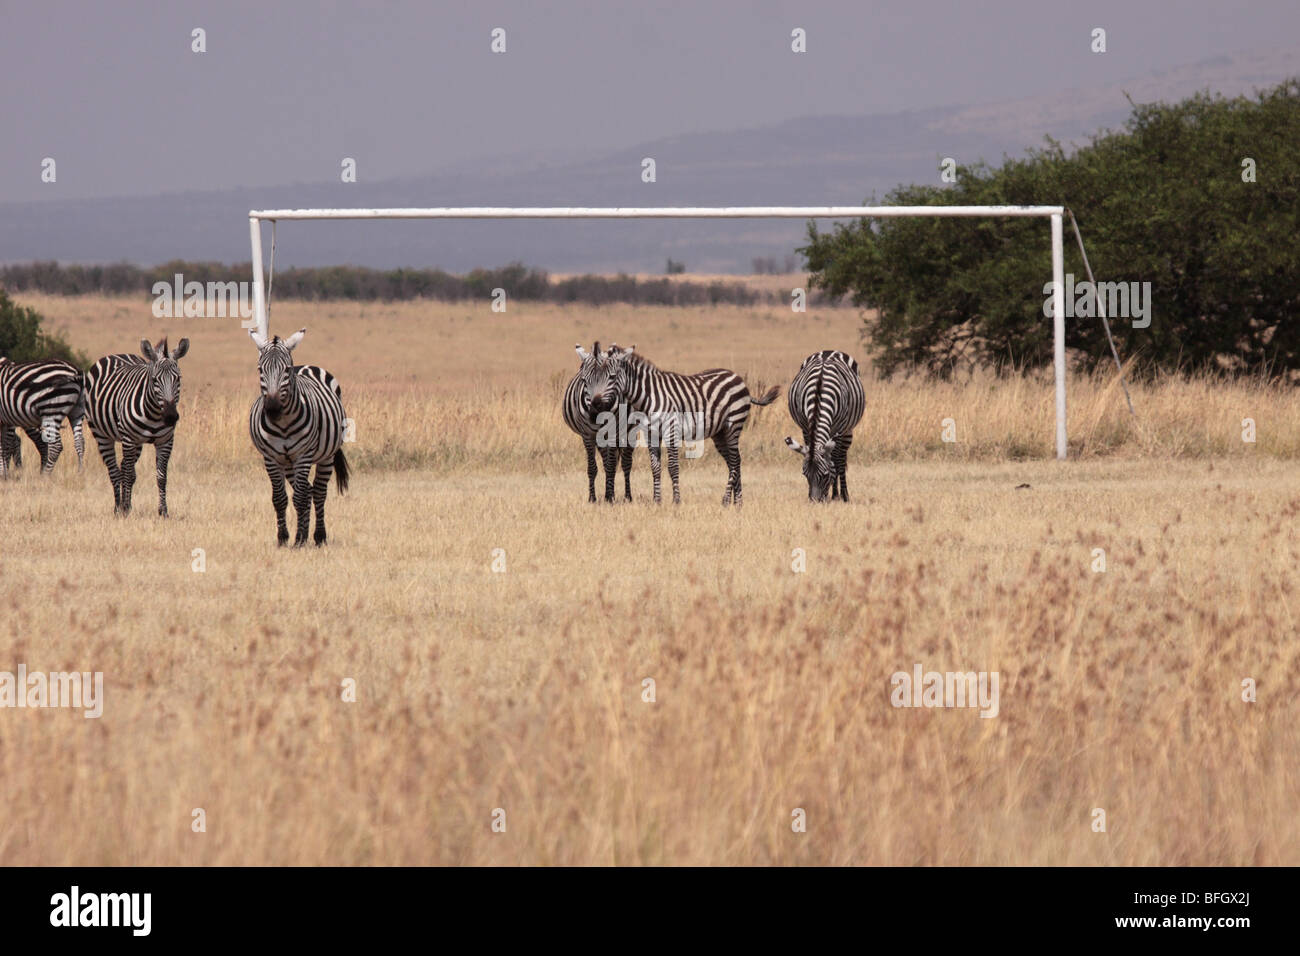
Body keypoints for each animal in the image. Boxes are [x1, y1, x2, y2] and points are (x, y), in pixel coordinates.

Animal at [83, 335, 189, 515]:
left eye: (178, 378)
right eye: (154, 380)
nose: (170, 417)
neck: (155, 413)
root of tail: (116, 355)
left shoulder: (166, 441)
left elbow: (161, 477)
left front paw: (163, 511)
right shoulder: (128, 439)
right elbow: (127, 475)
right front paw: (125, 509)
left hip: (137, 443)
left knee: (125, 469)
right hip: (102, 435)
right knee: (115, 471)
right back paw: (118, 508)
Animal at [248, 329, 348, 548]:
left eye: (286, 370)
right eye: (260, 369)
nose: (272, 409)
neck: (283, 423)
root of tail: (307, 366)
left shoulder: (303, 455)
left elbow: (300, 498)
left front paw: (300, 539)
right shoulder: (271, 458)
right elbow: (280, 498)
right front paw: (284, 538)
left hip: (325, 456)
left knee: (317, 492)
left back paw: (319, 536)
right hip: (288, 462)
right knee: (308, 490)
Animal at [564, 345, 634, 509]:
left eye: (611, 379)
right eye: (584, 380)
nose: (595, 413)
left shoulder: (613, 433)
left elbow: (611, 466)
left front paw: (609, 497)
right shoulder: (587, 435)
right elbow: (593, 468)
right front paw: (593, 498)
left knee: (625, 463)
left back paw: (627, 496)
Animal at [600, 345, 774, 509]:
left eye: (612, 377)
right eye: (596, 375)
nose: (598, 404)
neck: (650, 396)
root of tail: (738, 378)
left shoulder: (671, 431)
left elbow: (673, 467)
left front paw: (676, 501)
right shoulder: (651, 434)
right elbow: (655, 468)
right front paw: (657, 501)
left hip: (734, 424)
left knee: (735, 460)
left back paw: (726, 501)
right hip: (720, 433)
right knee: (734, 462)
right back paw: (738, 502)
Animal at [780, 348, 863, 502]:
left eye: (825, 475)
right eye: (804, 474)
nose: (814, 501)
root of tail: (828, 351)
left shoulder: (839, 428)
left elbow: (835, 460)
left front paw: (837, 495)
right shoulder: (805, 427)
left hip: (848, 430)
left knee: (841, 458)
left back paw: (842, 494)